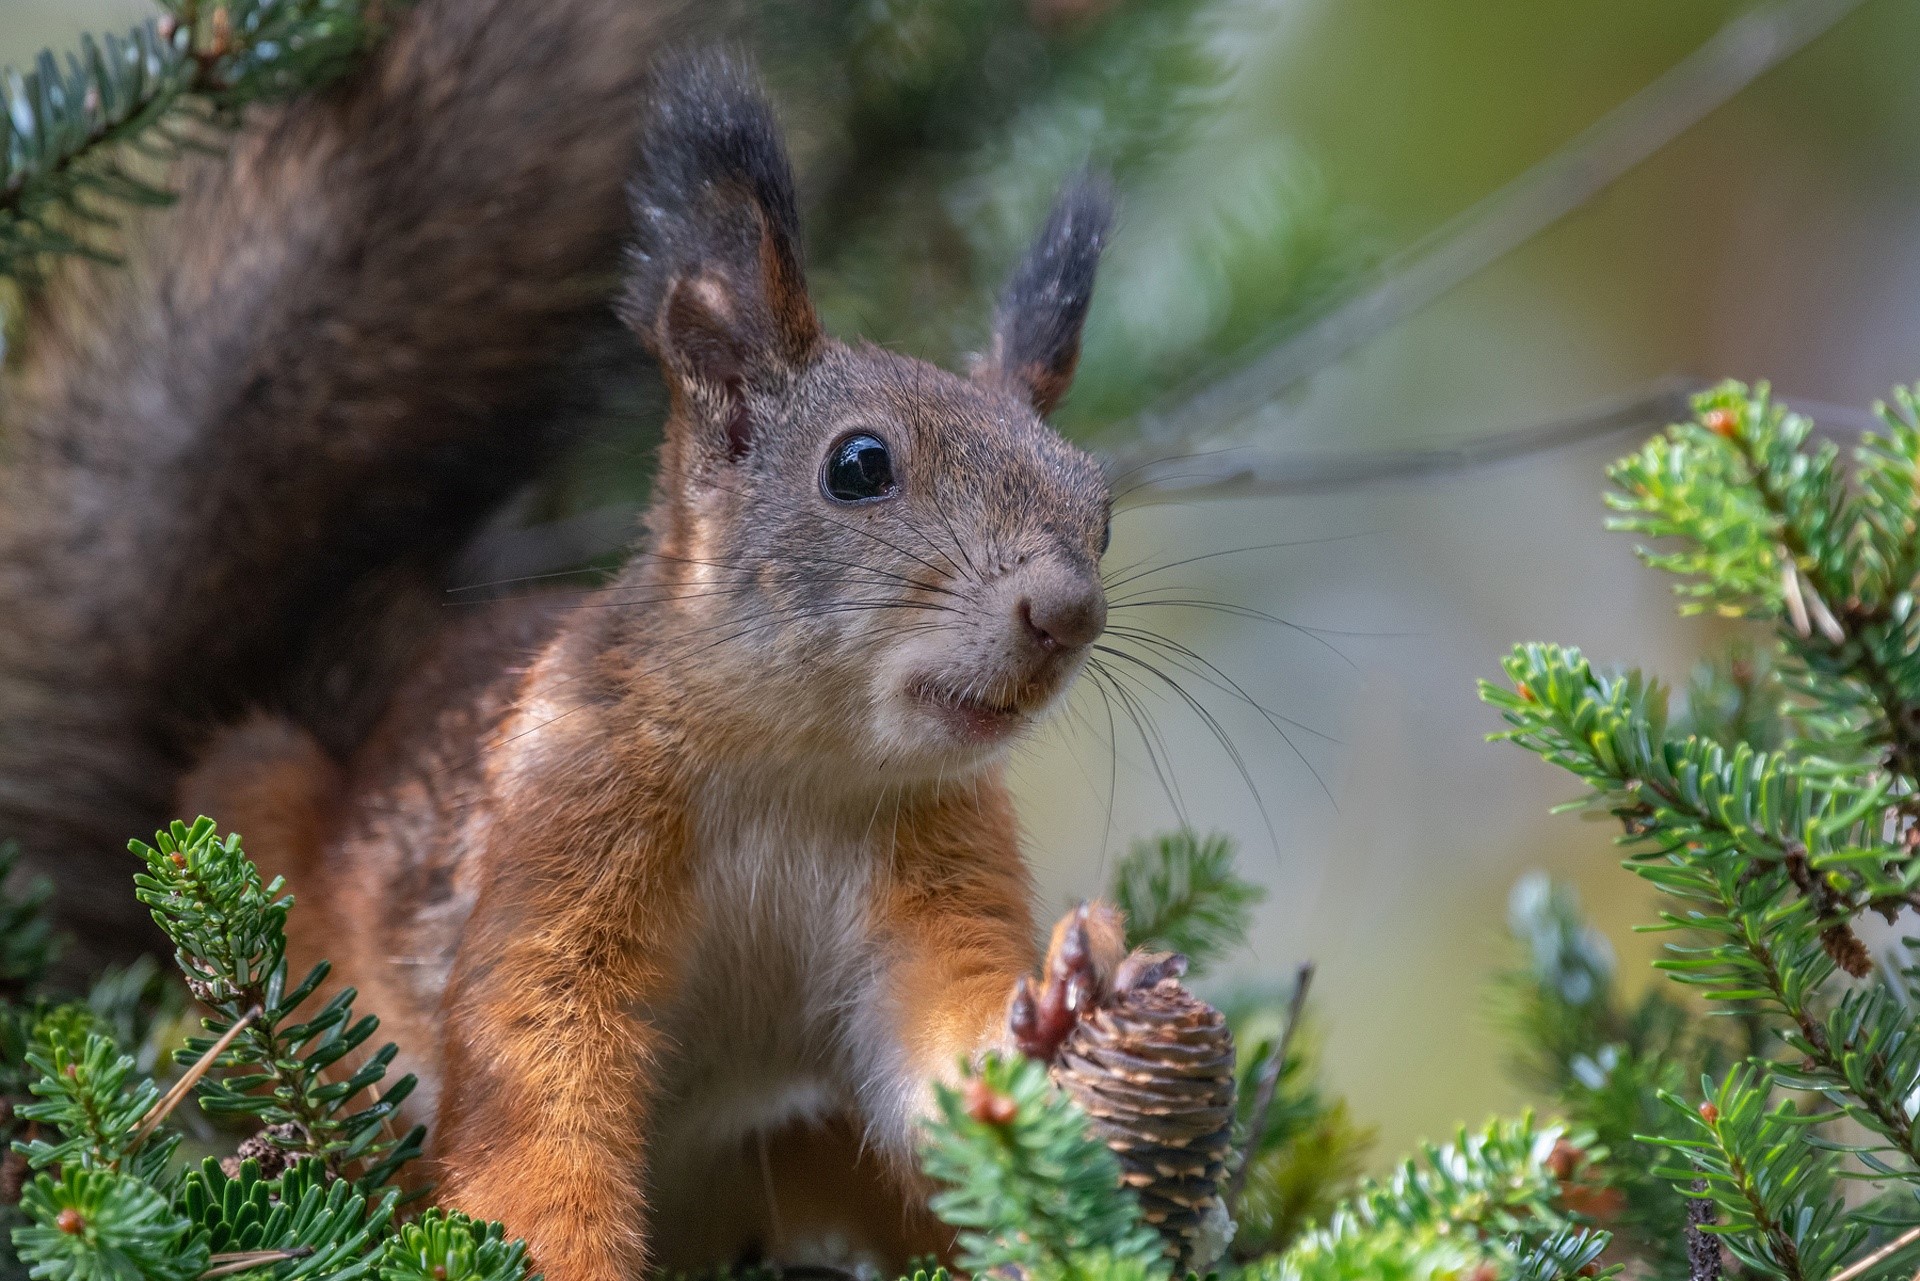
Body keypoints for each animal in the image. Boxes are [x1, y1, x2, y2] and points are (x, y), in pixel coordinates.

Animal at [0, 2, 1126, 1275]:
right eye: (858, 466)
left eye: (1097, 504)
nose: (1064, 613)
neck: (798, 767)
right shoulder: (562, 823)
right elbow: (536, 1082)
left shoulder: (939, 871)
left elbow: (940, 1057)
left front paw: (1056, 1018)